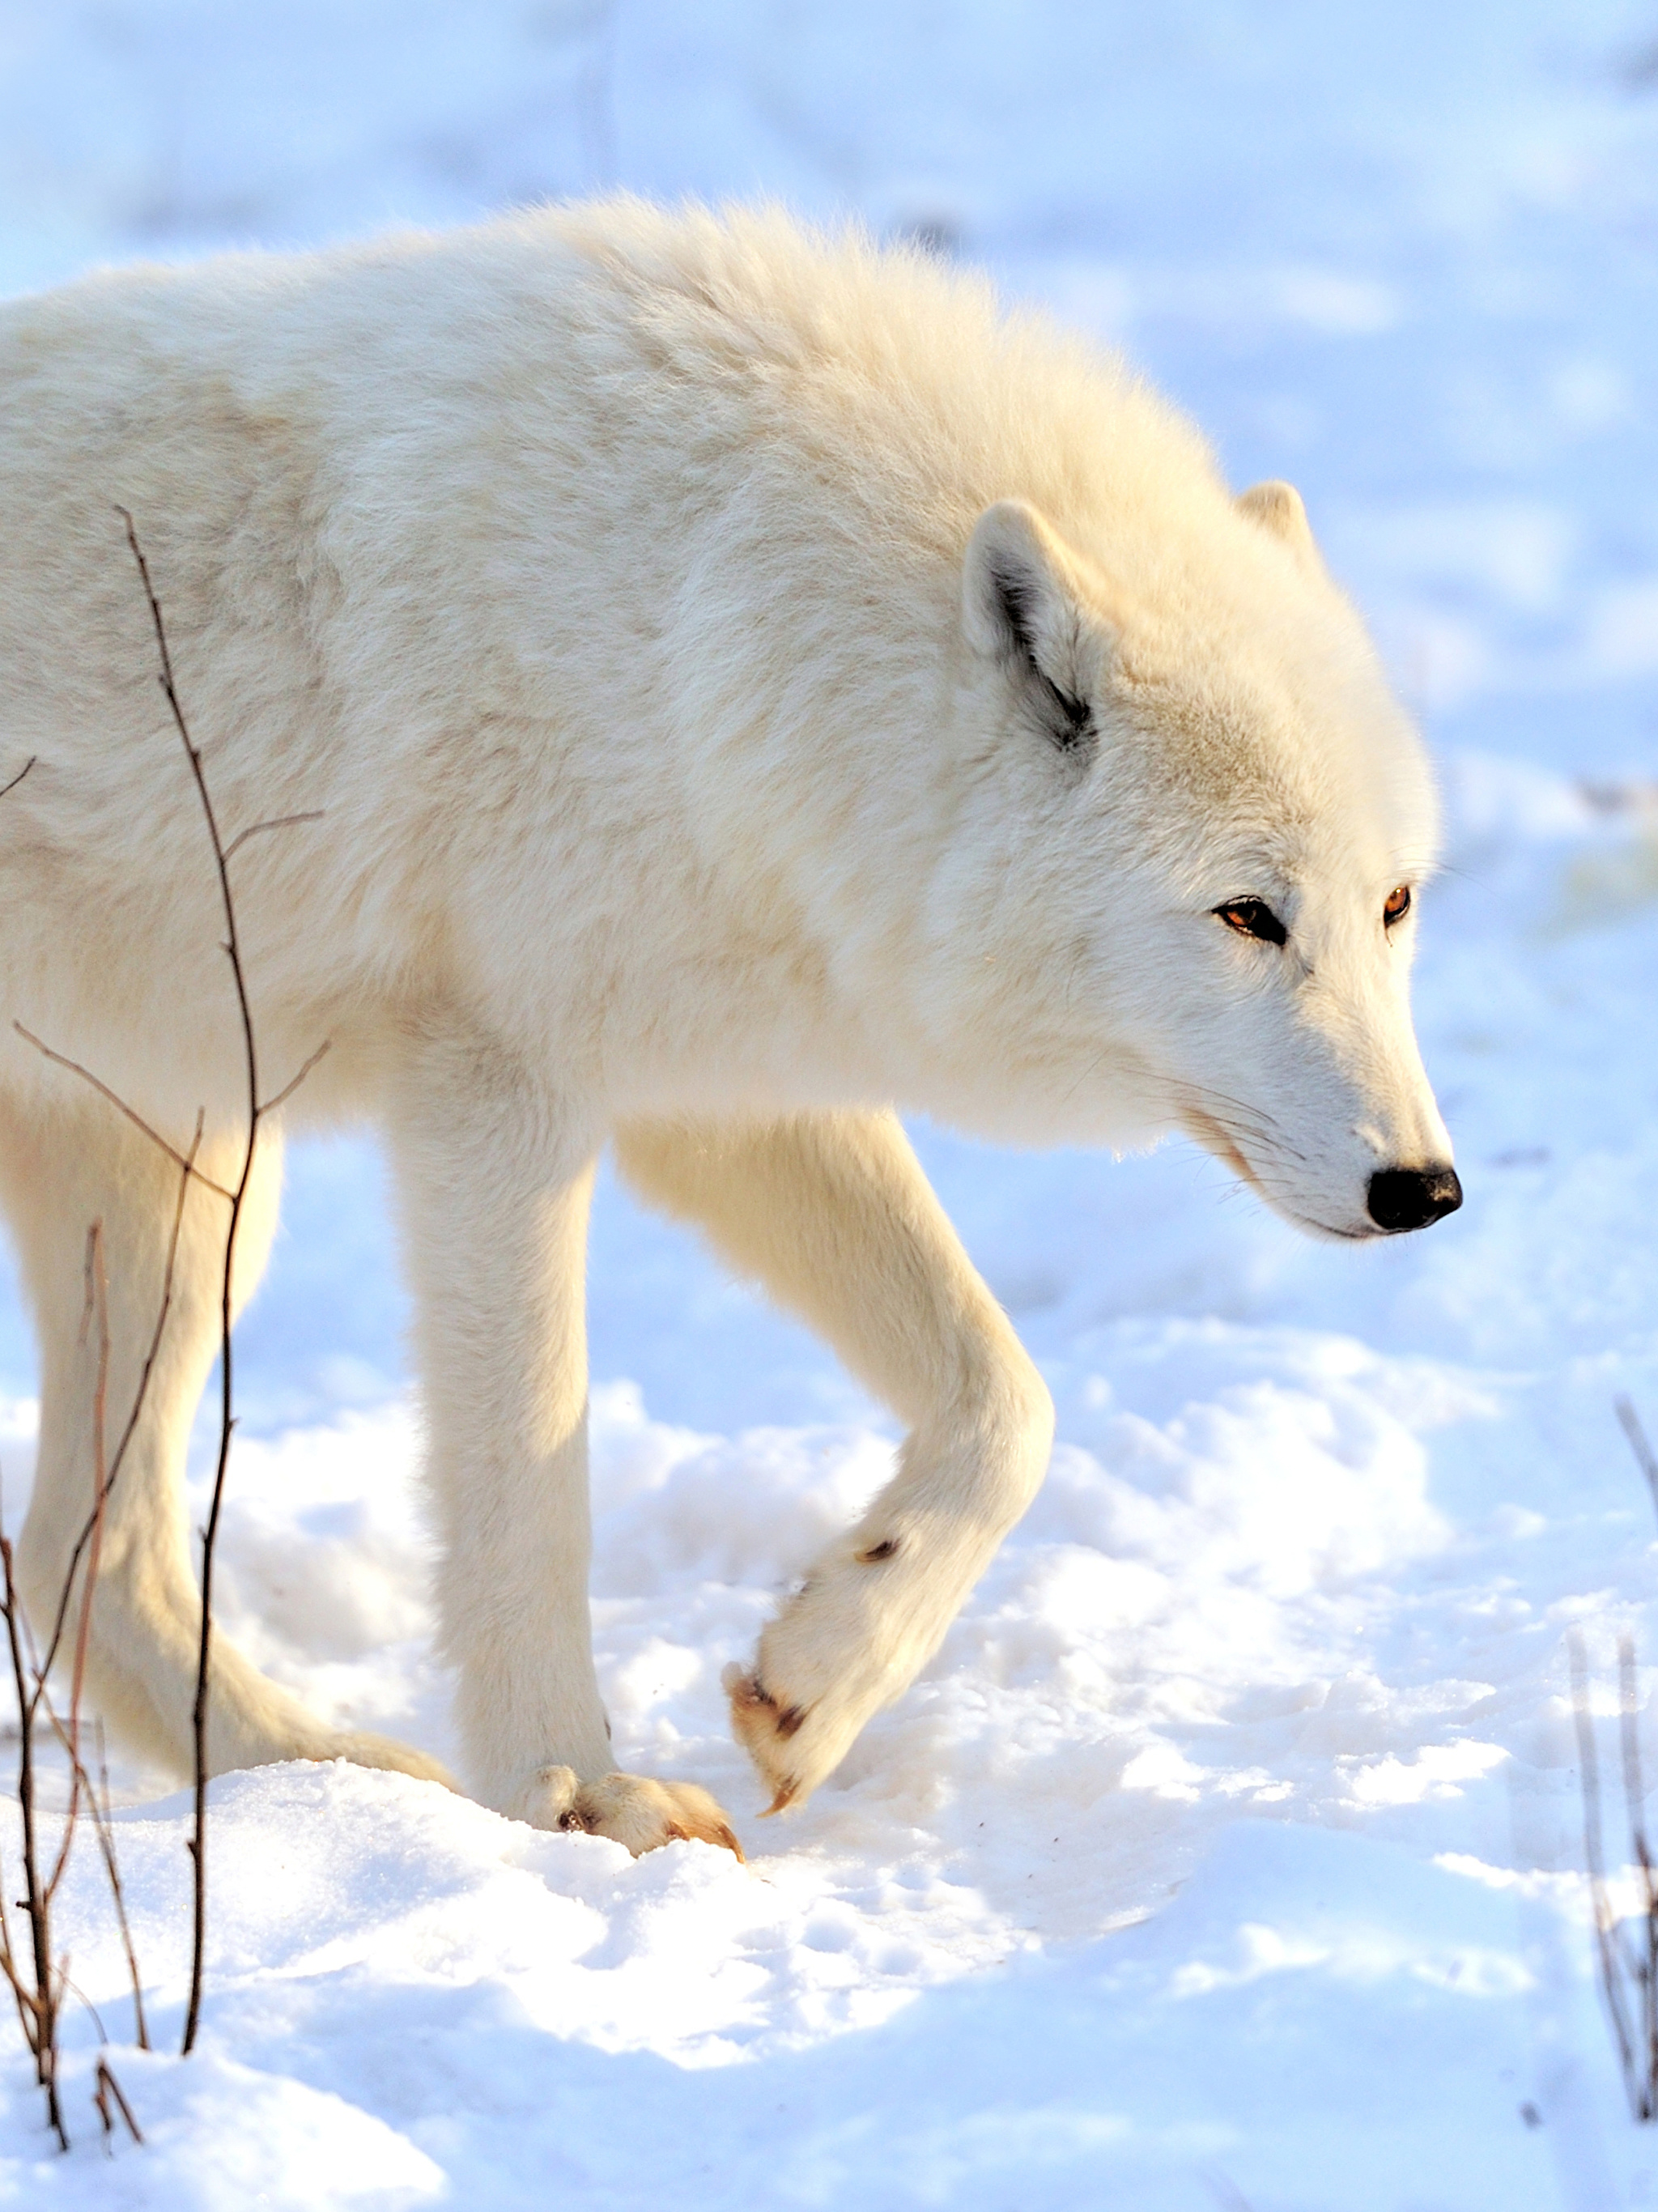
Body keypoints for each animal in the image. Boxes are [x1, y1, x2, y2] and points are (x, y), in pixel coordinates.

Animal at [0, 198, 1450, 1857]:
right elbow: (529, 1488)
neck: (695, 625)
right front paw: (574, 1797)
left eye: (1392, 903)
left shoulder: (727, 1095)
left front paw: (821, 1676)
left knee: (77, 1542)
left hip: (194, 1185)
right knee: (80, 1537)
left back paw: (335, 1781)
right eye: (1247, 916)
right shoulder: (497, 1098)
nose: (1422, 1189)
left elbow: (1007, 1401)